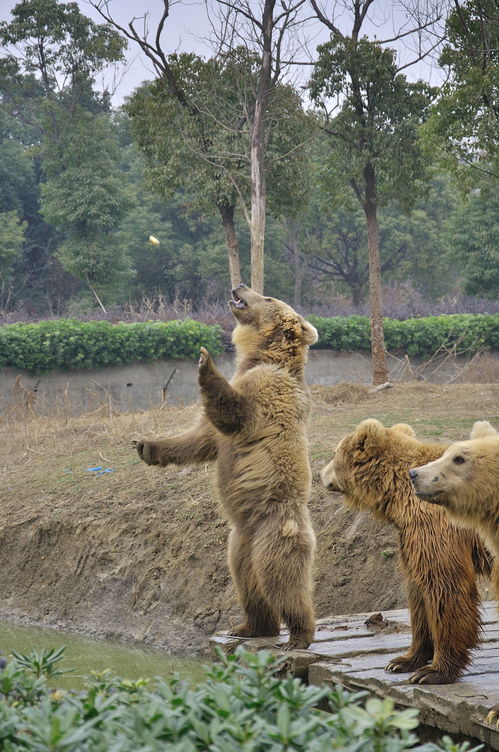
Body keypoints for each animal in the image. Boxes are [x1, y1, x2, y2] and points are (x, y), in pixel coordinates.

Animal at [135, 284, 318, 648]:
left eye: (268, 297)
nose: (239, 285)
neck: (262, 356)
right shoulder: (226, 418)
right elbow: (202, 438)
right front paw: (147, 447)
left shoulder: (267, 392)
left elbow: (233, 411)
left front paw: (205, 362)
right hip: (238, 544)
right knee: (247, 582)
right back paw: (249, 626)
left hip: (274, 530)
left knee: (283, 579)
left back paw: (299, 634)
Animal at [320, 420, 492, 684]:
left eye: (334, 453)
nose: (321, 473)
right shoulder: (413, 539)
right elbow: (419, 596)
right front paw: (403, 660)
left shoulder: (438, 530)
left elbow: (445, 590)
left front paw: (434, 671)